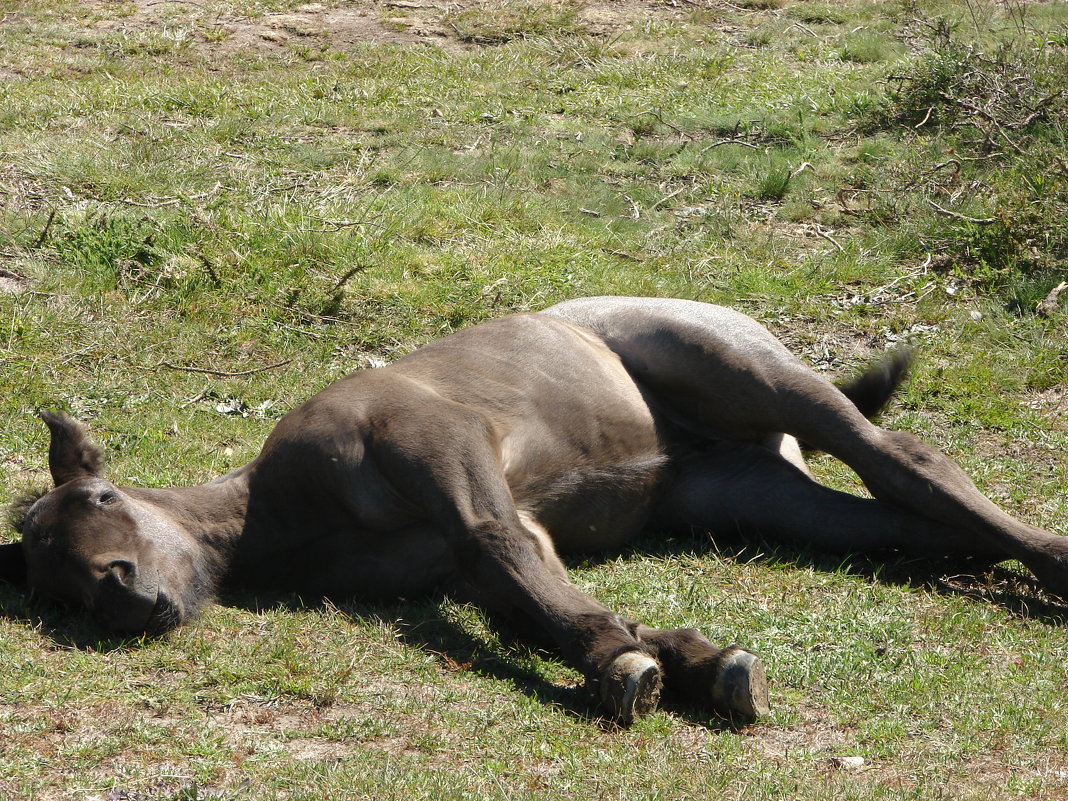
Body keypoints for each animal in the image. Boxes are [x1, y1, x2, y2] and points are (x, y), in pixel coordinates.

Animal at [2, 299, 1068, 726]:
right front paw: (690, 662)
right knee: (907, 520)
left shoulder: (443, 449)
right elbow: (526, 591)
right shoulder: (463, 554)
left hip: (755, 374)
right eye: (55, 584)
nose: (121, 590)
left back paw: (1054, 564)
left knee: (904, 457)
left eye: (101, 496)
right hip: (751, 492)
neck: (282, 508)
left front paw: (629, 667)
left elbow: (505, 549)